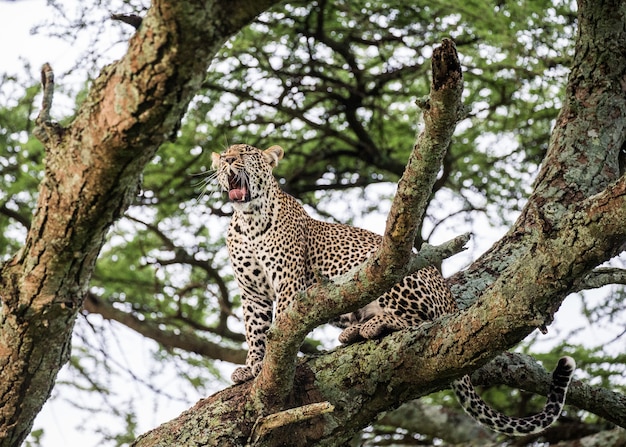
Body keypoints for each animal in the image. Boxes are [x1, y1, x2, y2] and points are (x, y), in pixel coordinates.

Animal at [211, 144, 576, 438]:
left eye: (246, 152)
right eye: (227, 152)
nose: (227, 160)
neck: (248, 221)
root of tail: (450, 300)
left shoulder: (289, 282)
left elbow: (278, 330)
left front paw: (265, 367)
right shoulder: (252, 292)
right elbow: (255, 330)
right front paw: (252, 367)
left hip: (390, 272)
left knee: (422, 324)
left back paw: (375, 325)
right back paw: (354, 331)